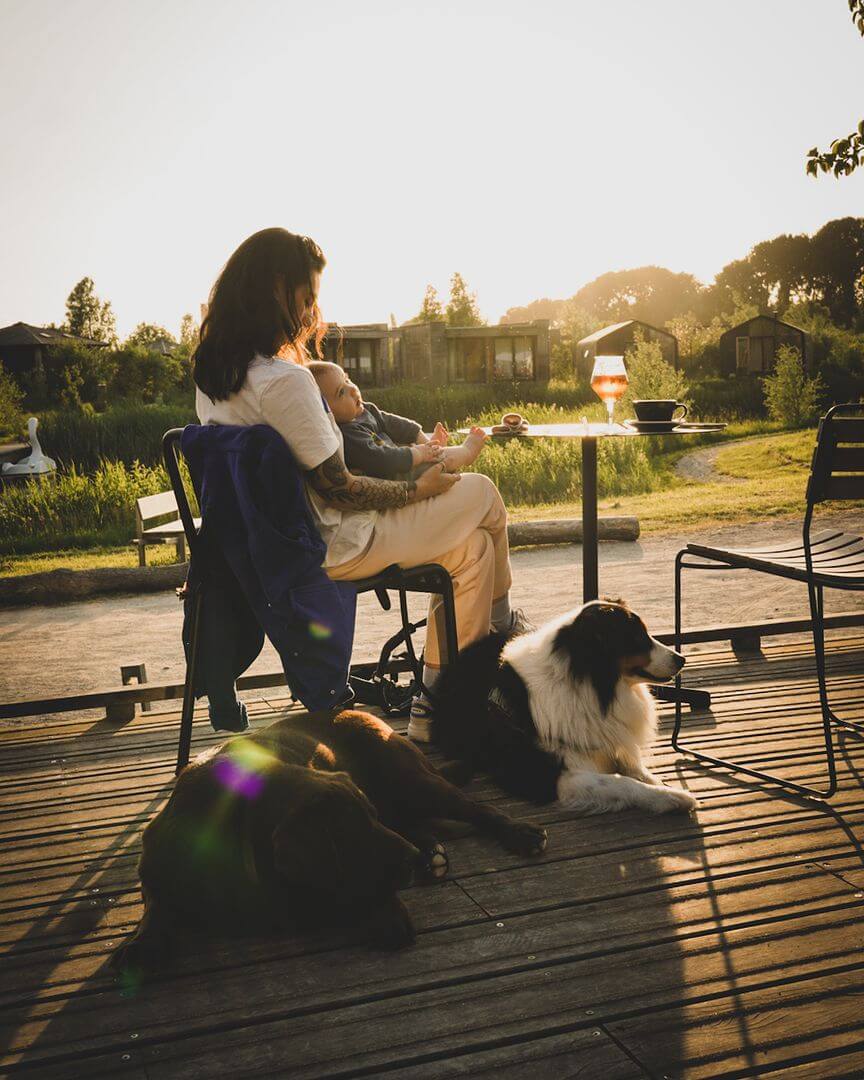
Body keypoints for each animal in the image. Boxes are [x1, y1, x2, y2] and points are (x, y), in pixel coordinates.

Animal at [112, 708, 546, 972]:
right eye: (349, 830)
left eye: (366, 820)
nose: (407, 860)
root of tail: (363, 712)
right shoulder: (155, 866)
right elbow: (157, 908)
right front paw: (144, 942)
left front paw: (384, 909)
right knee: (409, 821)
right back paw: (429, 849)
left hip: (413, 781)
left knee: (473, 808)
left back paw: (517, 834)